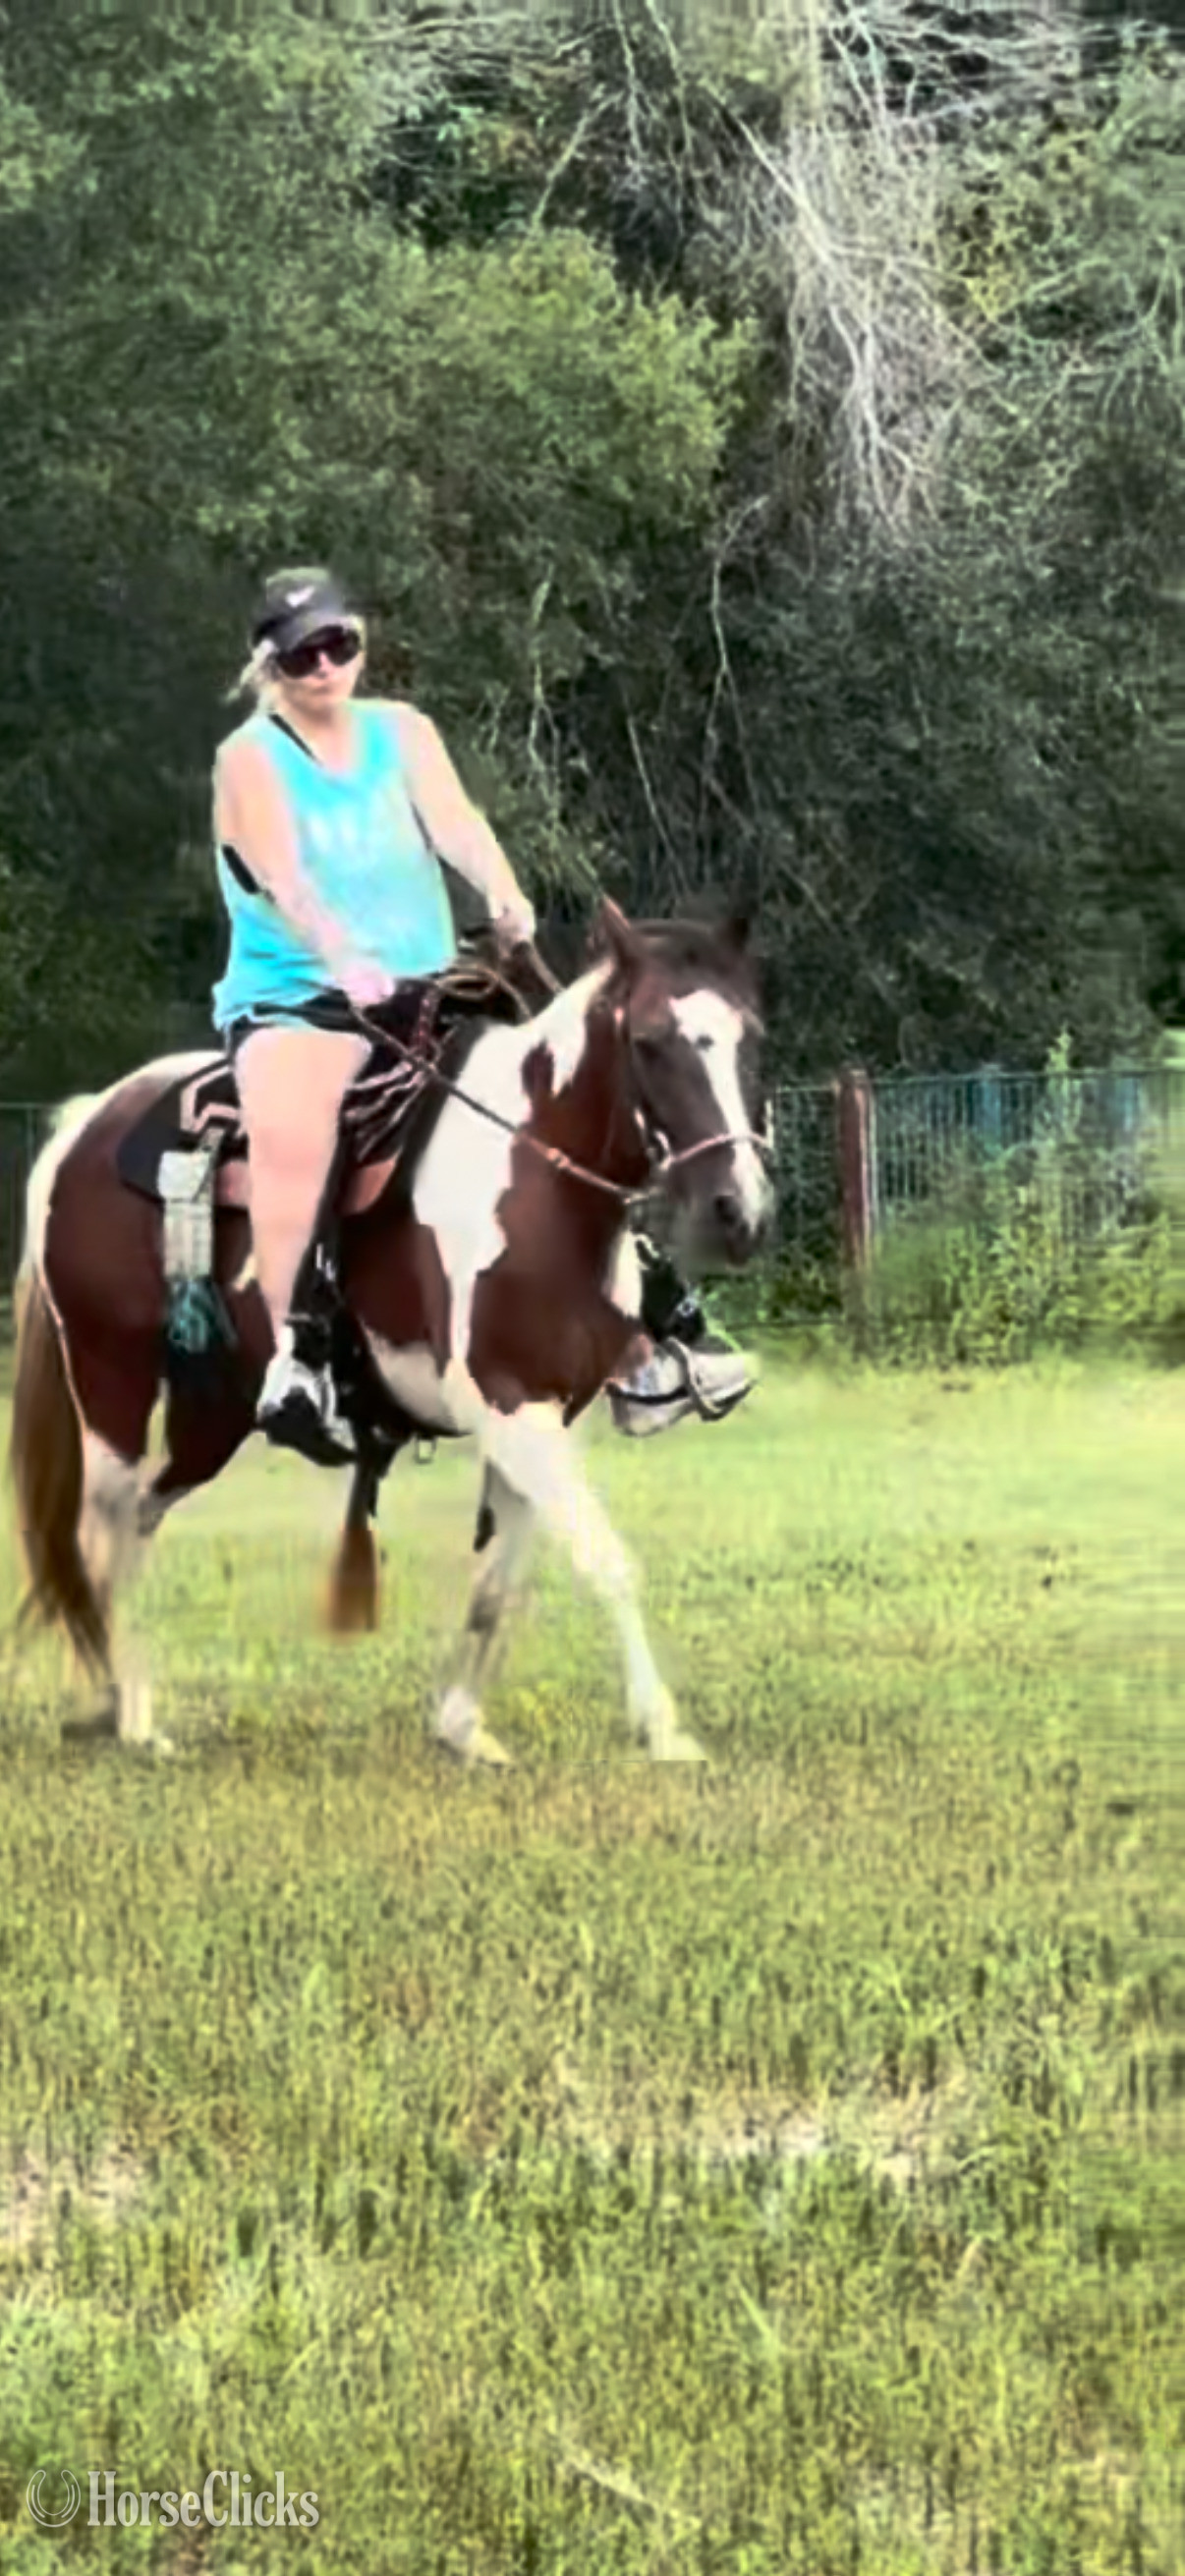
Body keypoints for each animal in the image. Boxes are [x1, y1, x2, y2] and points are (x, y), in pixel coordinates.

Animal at [9, 900, 770, 1765]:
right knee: (97, 1528)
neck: (538, 1181)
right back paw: (118, 1710)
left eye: (750, 1037)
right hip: (111, 1377)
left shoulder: (542, 1415)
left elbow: (500, 1578)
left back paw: (121, 1707)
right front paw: (665, 1731)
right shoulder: (510, 1405)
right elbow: (607, 1560)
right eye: (648, 1041)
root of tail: (82, 1125)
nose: (738, 1211)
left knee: (138, 1519)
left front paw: (463, 1727)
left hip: (214, 1414)